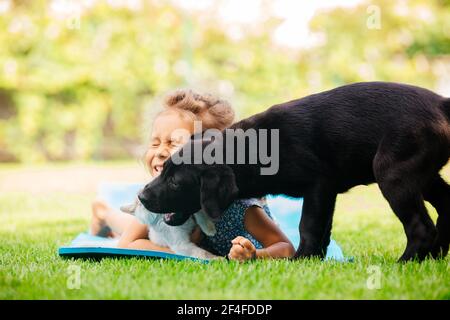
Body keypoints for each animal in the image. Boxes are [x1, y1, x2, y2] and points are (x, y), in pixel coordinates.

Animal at [140, 81, 450, 262]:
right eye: (163, 170)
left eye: (175, 182)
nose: (142, 196)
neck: (252, 149)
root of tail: (441, 102)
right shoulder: (327, 192)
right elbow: (323, 229)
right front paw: (314, 260)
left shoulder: (318, 185)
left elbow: (308, 226)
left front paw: (299, 260)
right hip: (423, 175)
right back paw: (435, 257)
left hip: (392, 174)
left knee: (421, 226)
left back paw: (405, 263)